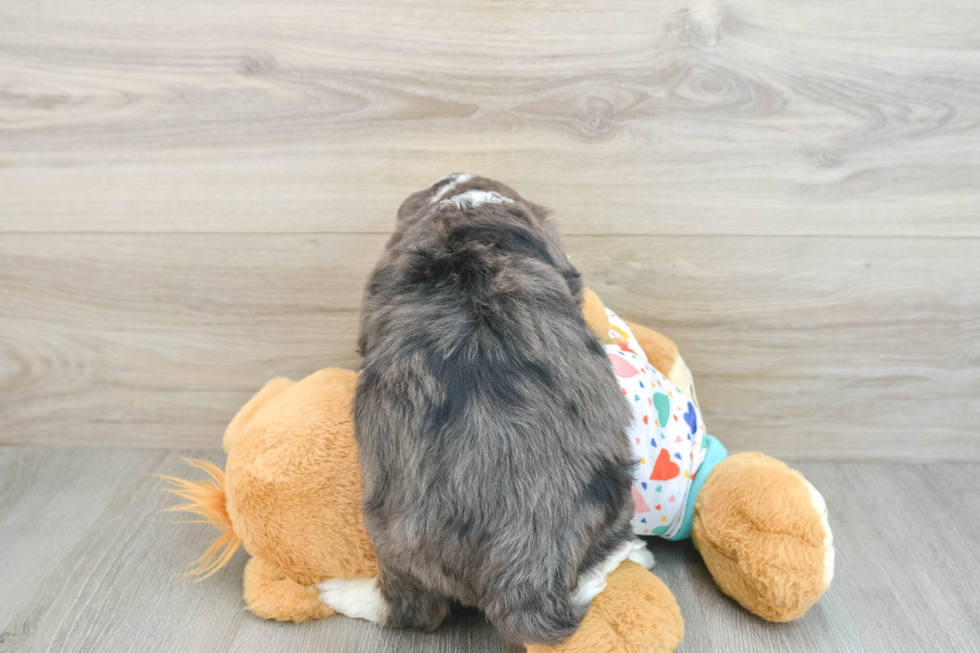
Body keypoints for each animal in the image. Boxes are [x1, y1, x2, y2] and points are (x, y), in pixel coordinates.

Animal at [318, 174, 648, 648]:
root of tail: (527, 568)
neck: (464, 216)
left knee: (411, 610)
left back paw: (342, 593)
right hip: (616, 494)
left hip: (391, 533)